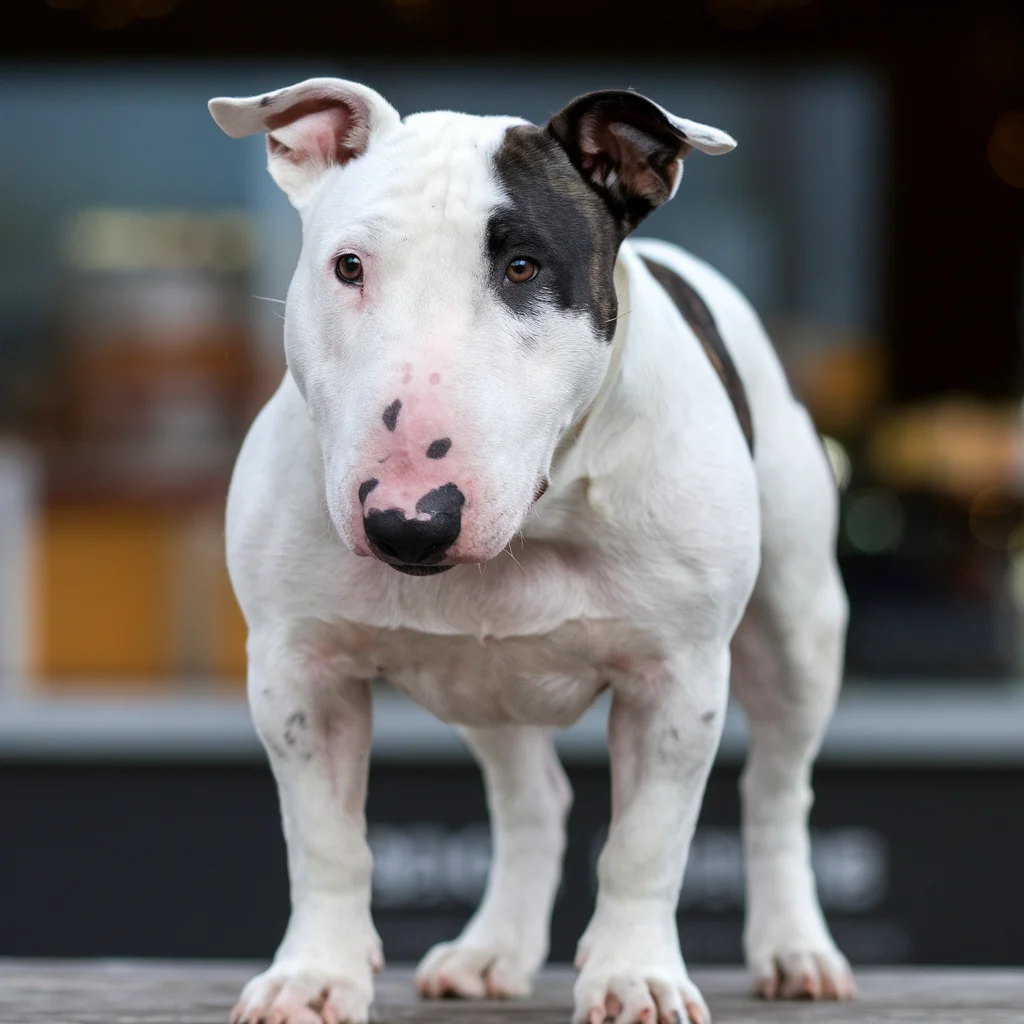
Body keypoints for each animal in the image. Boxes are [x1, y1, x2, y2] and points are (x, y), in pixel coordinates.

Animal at [209, 77, 856, 1024]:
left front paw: (635, 975)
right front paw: (315, 975)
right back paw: (492, 952)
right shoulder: (299, 673)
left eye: (523, 268)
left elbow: (645, 846)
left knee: (776, 792)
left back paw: (796, 949)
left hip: (799, 632)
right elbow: (327, 840)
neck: (541, 519)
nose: (407, 518)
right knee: (532, 804)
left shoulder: (678, 681)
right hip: (489, 691)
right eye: (349, 267)